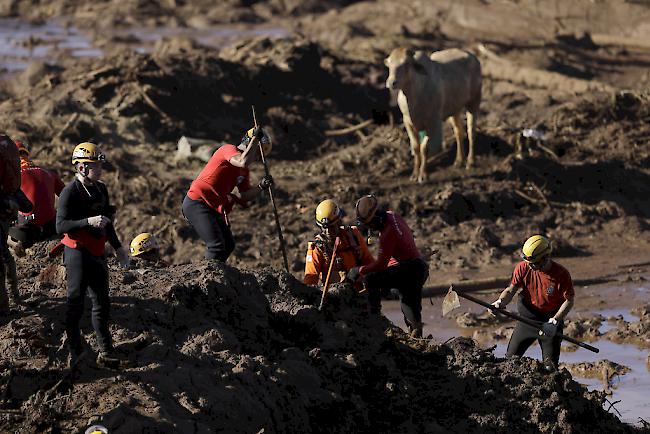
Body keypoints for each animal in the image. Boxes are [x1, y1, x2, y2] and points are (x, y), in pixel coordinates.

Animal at [384, 47, 480, 183]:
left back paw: (470, 162)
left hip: (473, 103)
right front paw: (414, 174)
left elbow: (425, 149)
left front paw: (423, 175)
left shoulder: (433, 123)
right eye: (389, 64)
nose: (391, 82)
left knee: (471, 132)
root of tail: (472, 56)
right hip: (454, 110)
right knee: (459, 132)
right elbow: (416, 148)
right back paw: (459, 161)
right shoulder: (408, 123)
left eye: (406, 64)